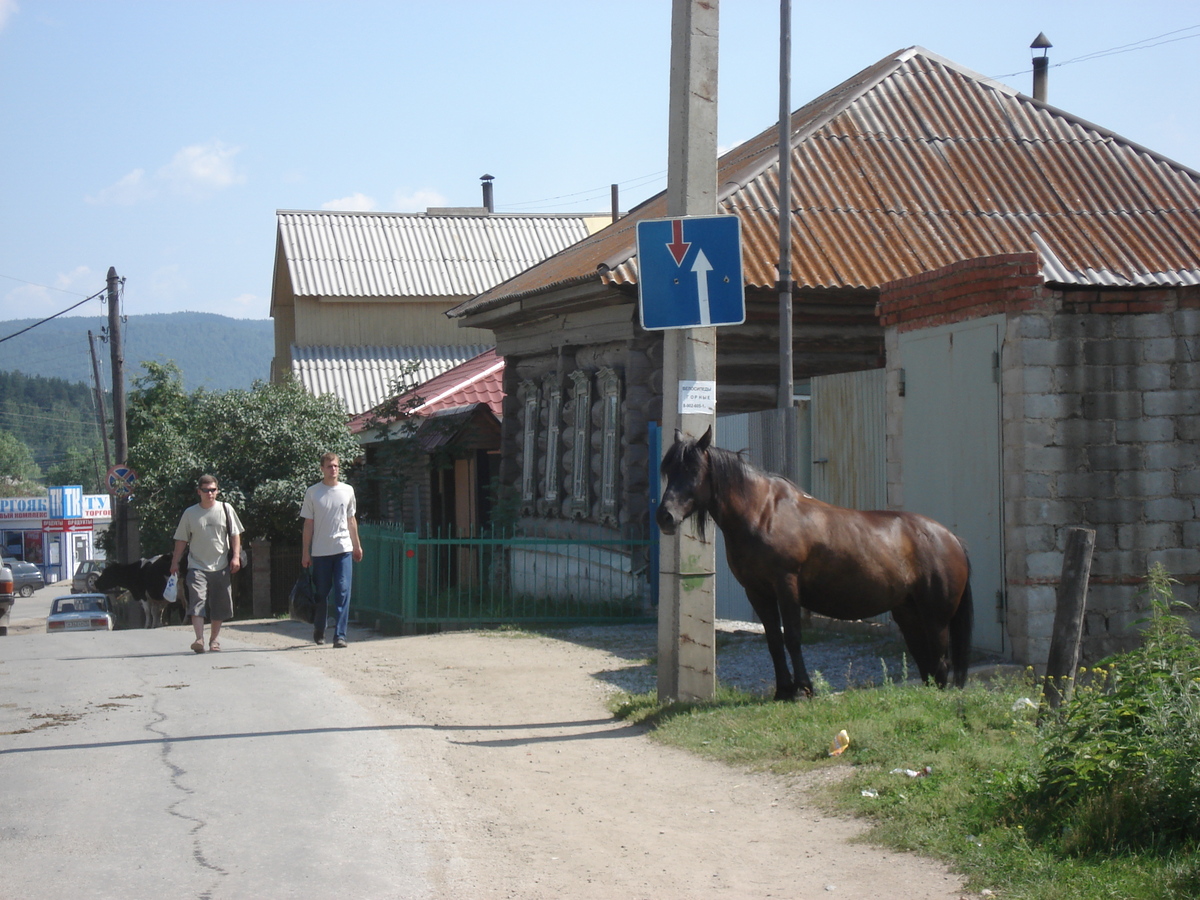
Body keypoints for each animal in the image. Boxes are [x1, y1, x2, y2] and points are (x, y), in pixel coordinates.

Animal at [657, 427, 974, 700]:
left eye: (693, 470)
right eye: (669, 470)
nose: (665, 516)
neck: (763, 514)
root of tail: (951, 538)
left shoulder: (786, 585)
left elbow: (793, 636)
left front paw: (804, 689)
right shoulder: (757, 592)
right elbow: (773, 640)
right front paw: (783, 690)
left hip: (936, 618)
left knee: (941, 662)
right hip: (908, 613)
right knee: (926, 662)